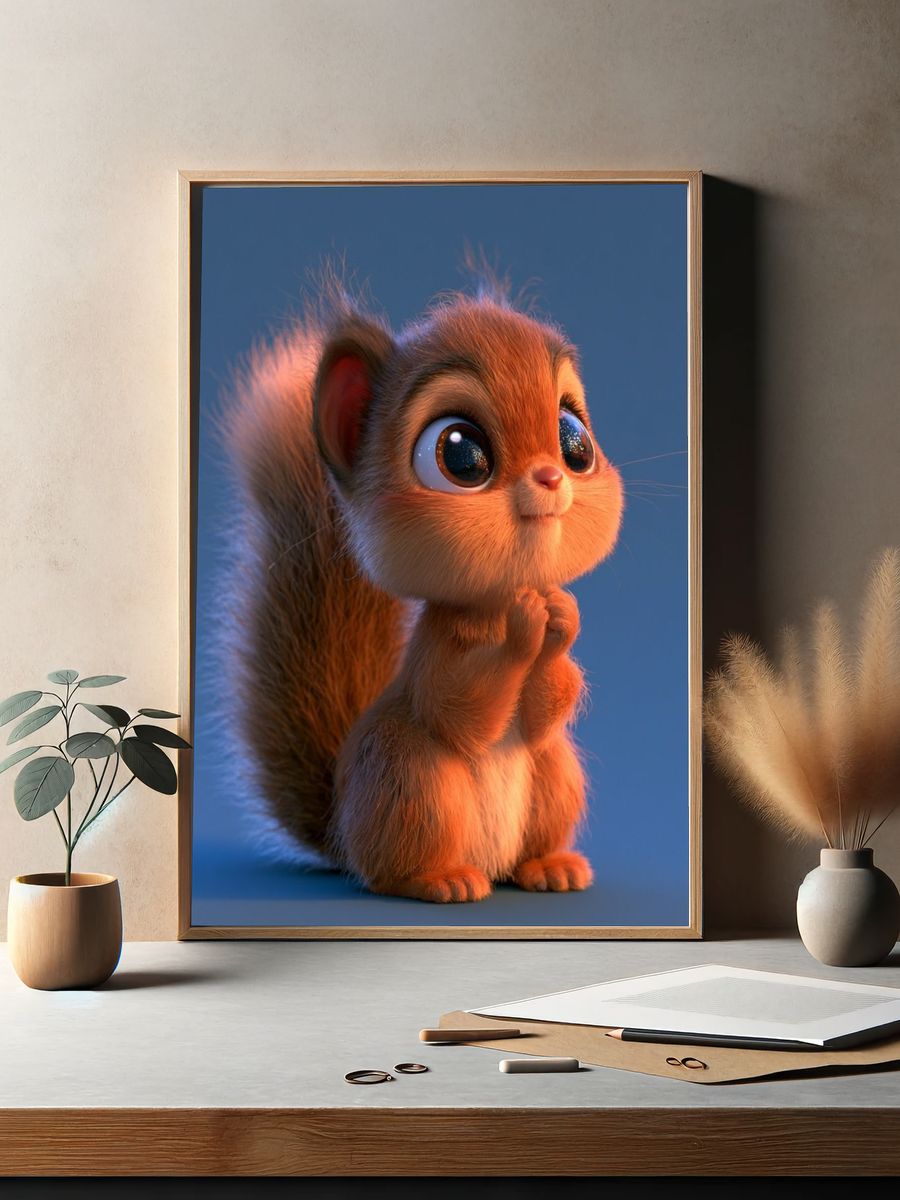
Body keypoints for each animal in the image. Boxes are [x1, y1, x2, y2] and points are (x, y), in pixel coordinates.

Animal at [225, 278, 624, 903]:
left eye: (575, 440)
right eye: (460, 453)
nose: (553, 477)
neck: (491, 606)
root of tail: (344, 834)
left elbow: (541, 713)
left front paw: (560, 616)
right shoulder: (436, 656)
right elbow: (462, 715)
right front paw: (525, 627)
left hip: (553, 775)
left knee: (538, 787)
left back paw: (549, 867)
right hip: (409, 779)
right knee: (393, 867)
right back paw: (439, 879)